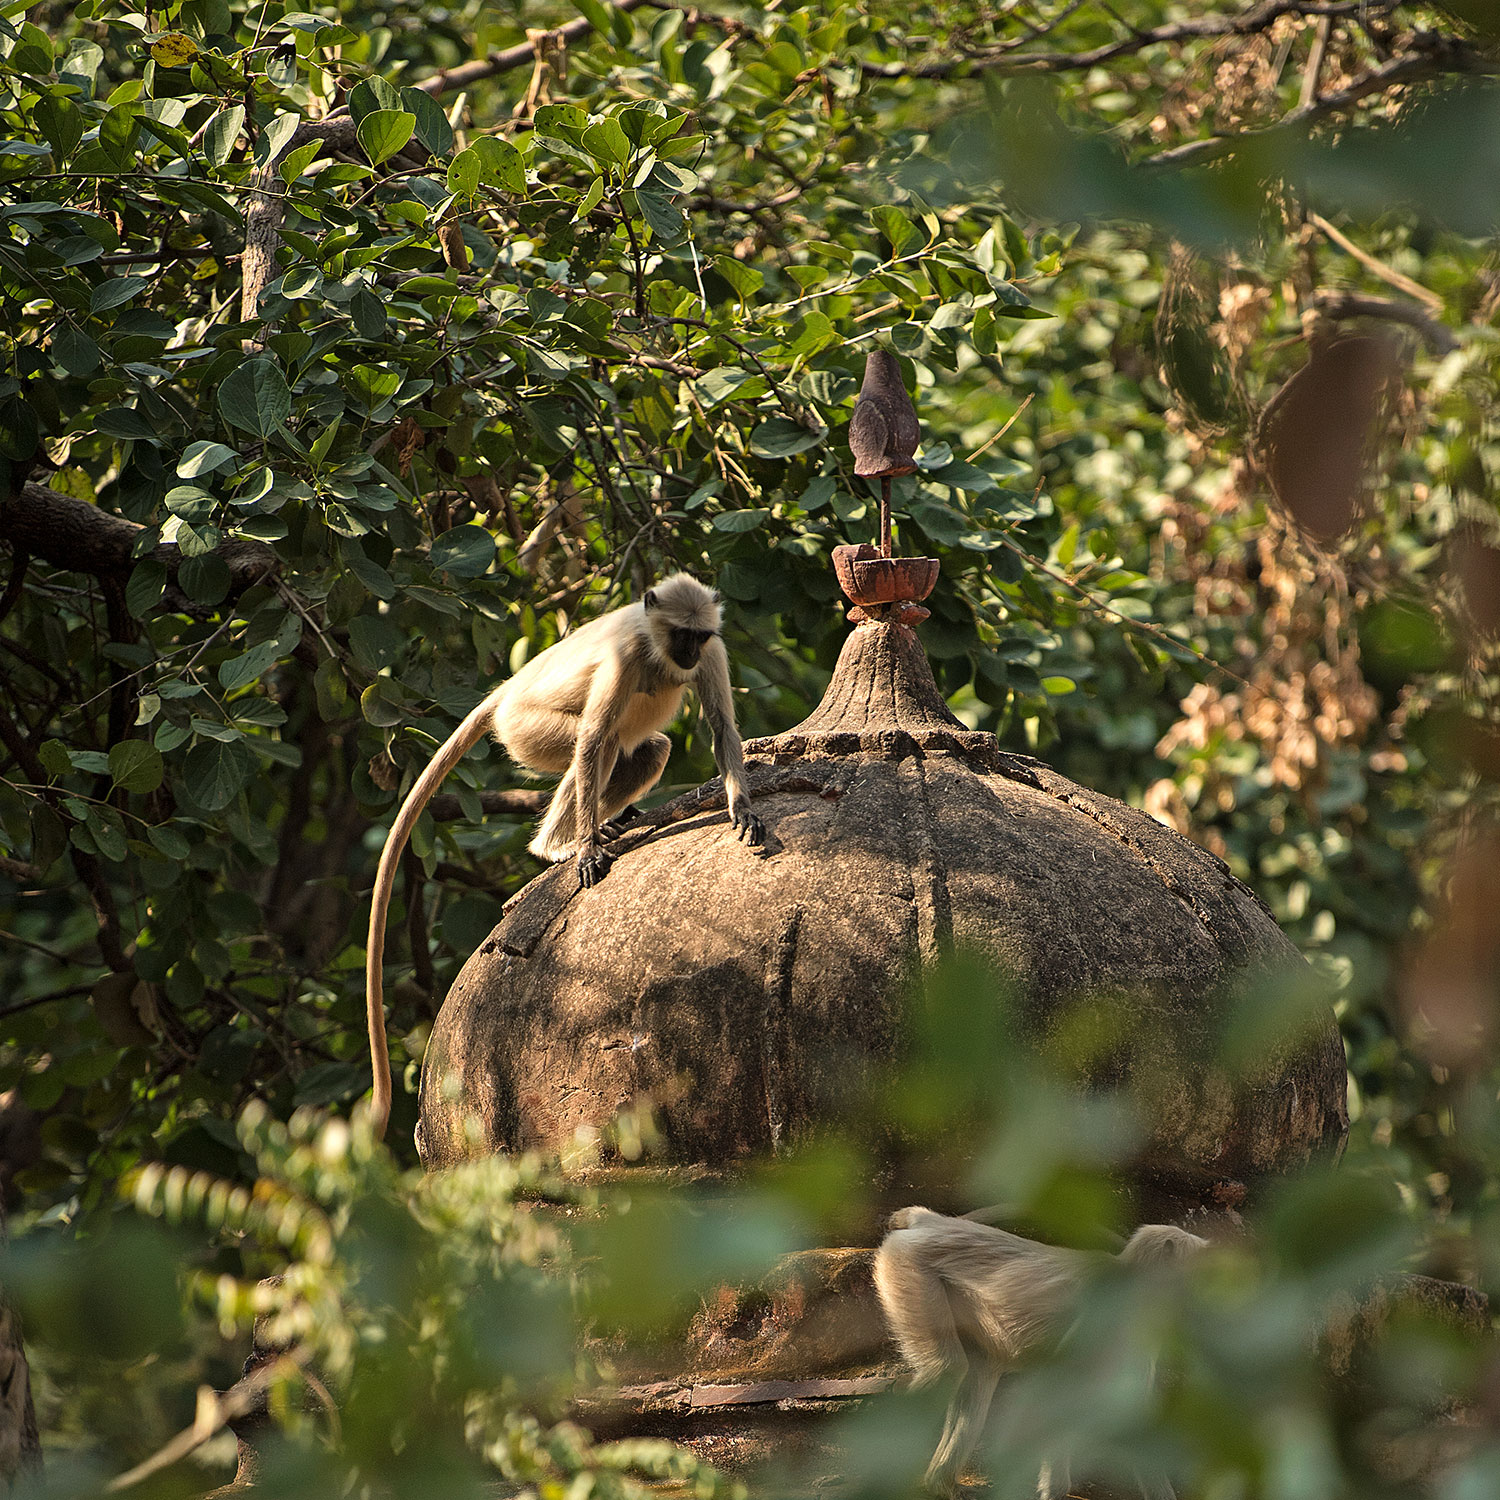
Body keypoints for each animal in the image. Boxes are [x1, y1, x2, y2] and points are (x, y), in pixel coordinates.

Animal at [361, 573, 762, 1134]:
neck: (658, 648)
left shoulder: (714, 650)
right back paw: (560, 846)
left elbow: (723, 726)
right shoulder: (625, 654)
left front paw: (742, 808)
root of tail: (509, 688)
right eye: (680, 635)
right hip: (526, 728)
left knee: (648, 748)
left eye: (697, 636)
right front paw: (588, 849)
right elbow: (594, 739)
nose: (687, 654)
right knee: (601, 739)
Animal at [870, 1206, 1206, 1500]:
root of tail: (933, 1222)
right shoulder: (1111, 1317)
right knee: (947, 1369)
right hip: (910, 1271)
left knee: (977, 1373)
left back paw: (940, 1484)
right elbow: (1051, 1396)